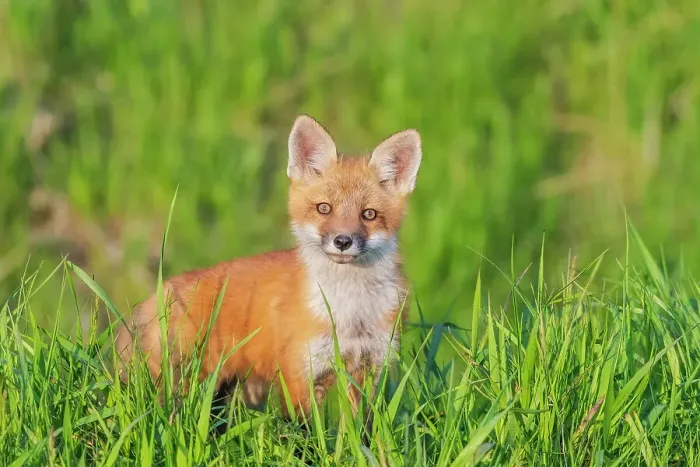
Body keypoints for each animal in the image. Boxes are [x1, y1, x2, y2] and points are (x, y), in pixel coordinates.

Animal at [114, 114, 422, 422]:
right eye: (324, 208)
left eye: (368, 214)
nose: (343, 241)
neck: (350, 314)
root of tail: (159, 291)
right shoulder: (299, 375)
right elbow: (304, 433)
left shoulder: (369, 368)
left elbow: (362, 430)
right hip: (183, 385)